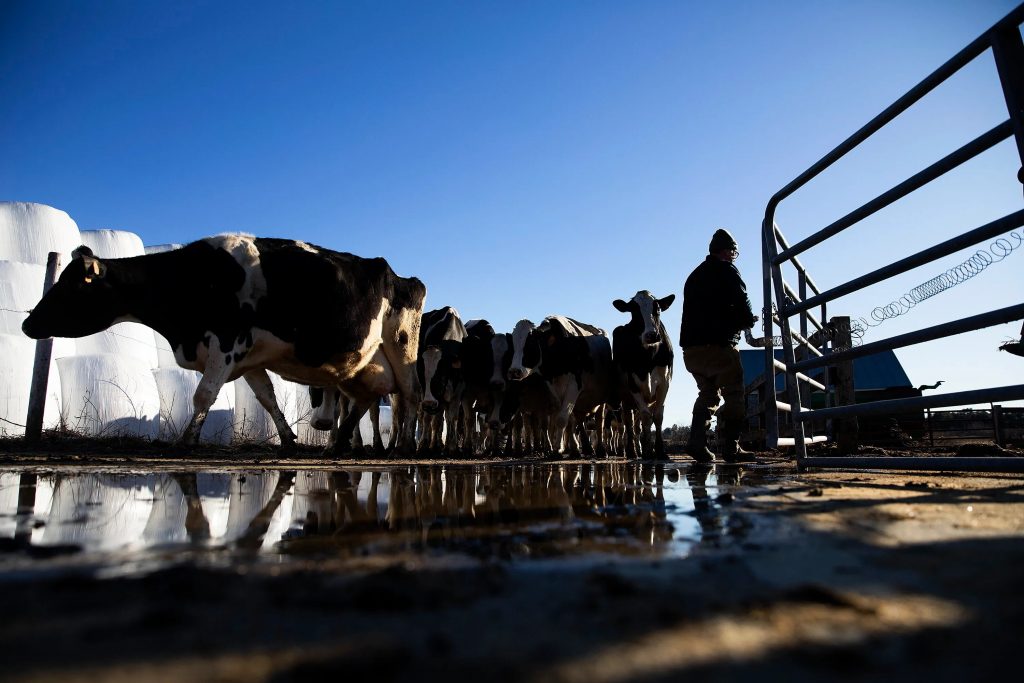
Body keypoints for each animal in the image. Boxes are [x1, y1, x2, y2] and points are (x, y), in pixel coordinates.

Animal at [23, 235, 423, 454]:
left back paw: (403, 447)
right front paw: (289, 439)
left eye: (70, 287)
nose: (27, 323)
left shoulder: (226, 343)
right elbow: (267, 399)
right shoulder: (250, 359)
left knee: (409, 396)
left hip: (402, 344)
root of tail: (402, 277)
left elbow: (203, 395)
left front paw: (186, 440)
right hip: (360, 363)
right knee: (364, 399)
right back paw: (339, 445)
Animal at [610, 290, 675, 458]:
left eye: (657, 309)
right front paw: (647, 451)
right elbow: (646, 417)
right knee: (628, 423)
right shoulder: (633, 385)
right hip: (625, 398)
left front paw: (659, 450)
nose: (651, 335)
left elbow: (657, 416)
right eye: (634, 311)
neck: (649, 357)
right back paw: (632, 451)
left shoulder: (665, 383)